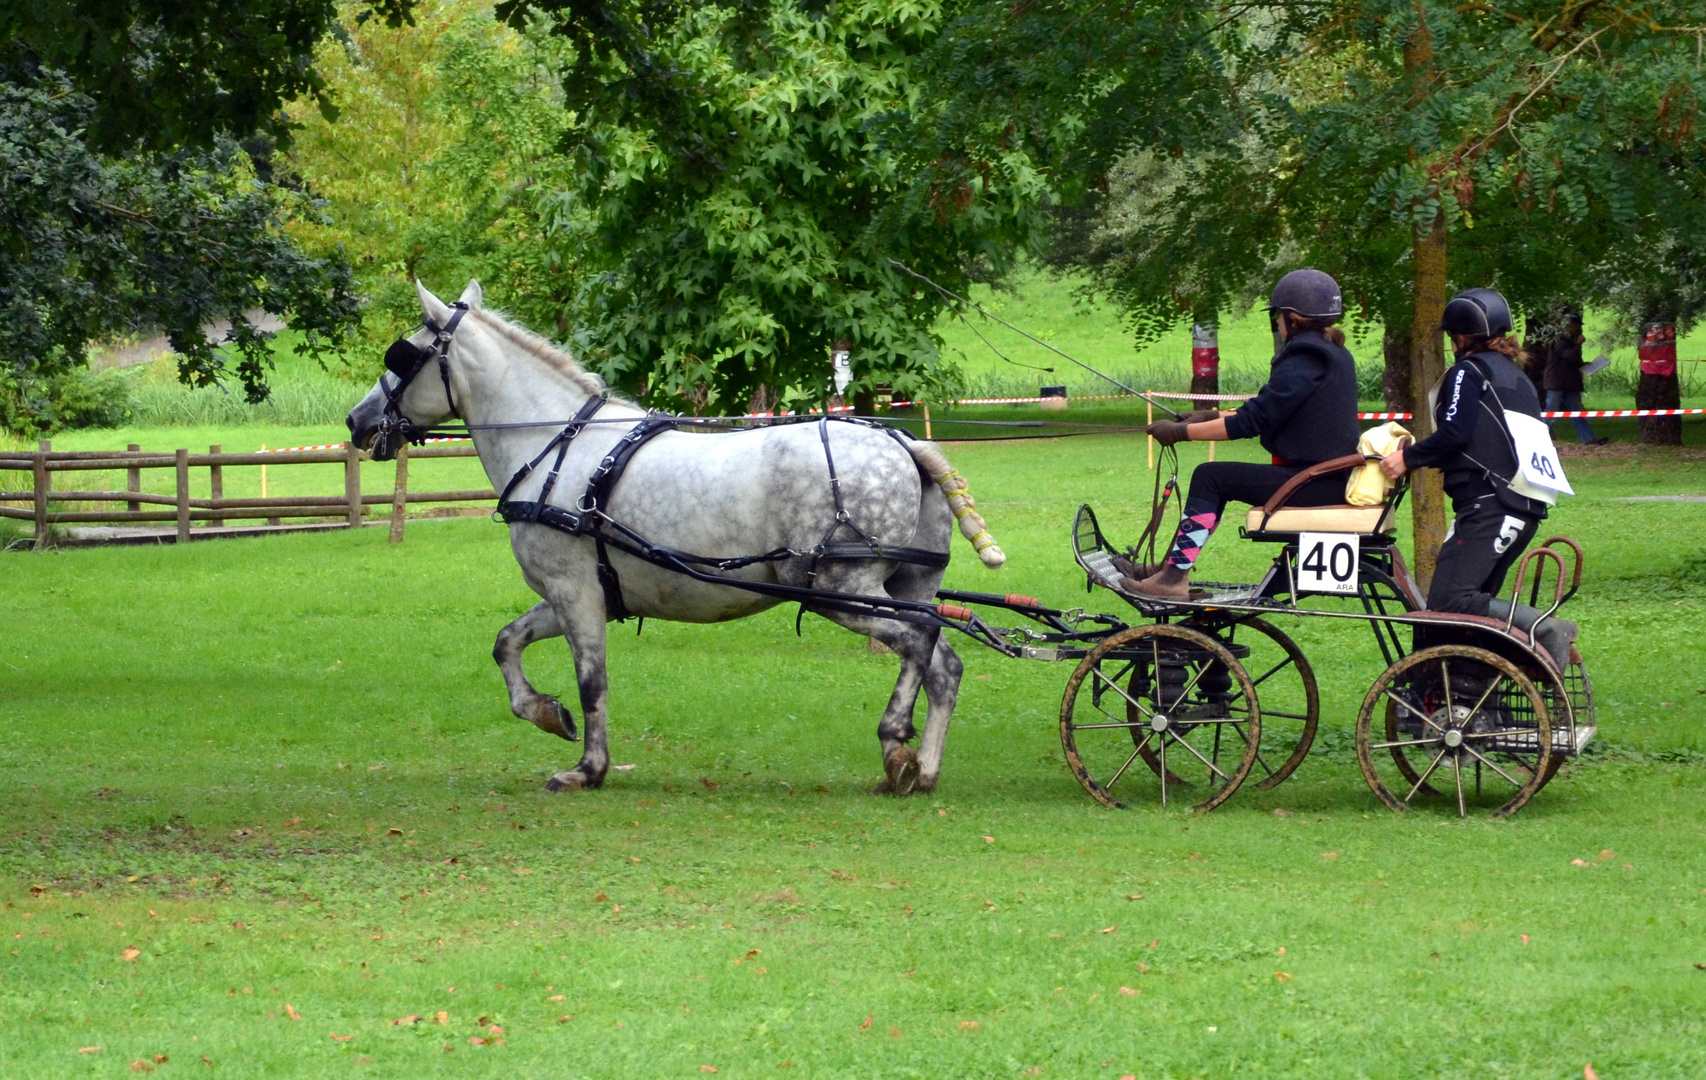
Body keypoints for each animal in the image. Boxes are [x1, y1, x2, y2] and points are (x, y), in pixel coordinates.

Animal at [351, 279, 1003, 791]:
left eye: (404, 355)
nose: (357, 421)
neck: (558, 446)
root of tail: (902, 441)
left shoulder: (574, 592)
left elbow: (592, 681)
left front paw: (588, 768)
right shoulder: (573, 594)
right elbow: (506, 643)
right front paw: (543, 712)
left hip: (840, 590)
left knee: (917, 641)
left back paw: (896, 742)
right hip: (907, 584)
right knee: (943, 662)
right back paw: (924, 767)